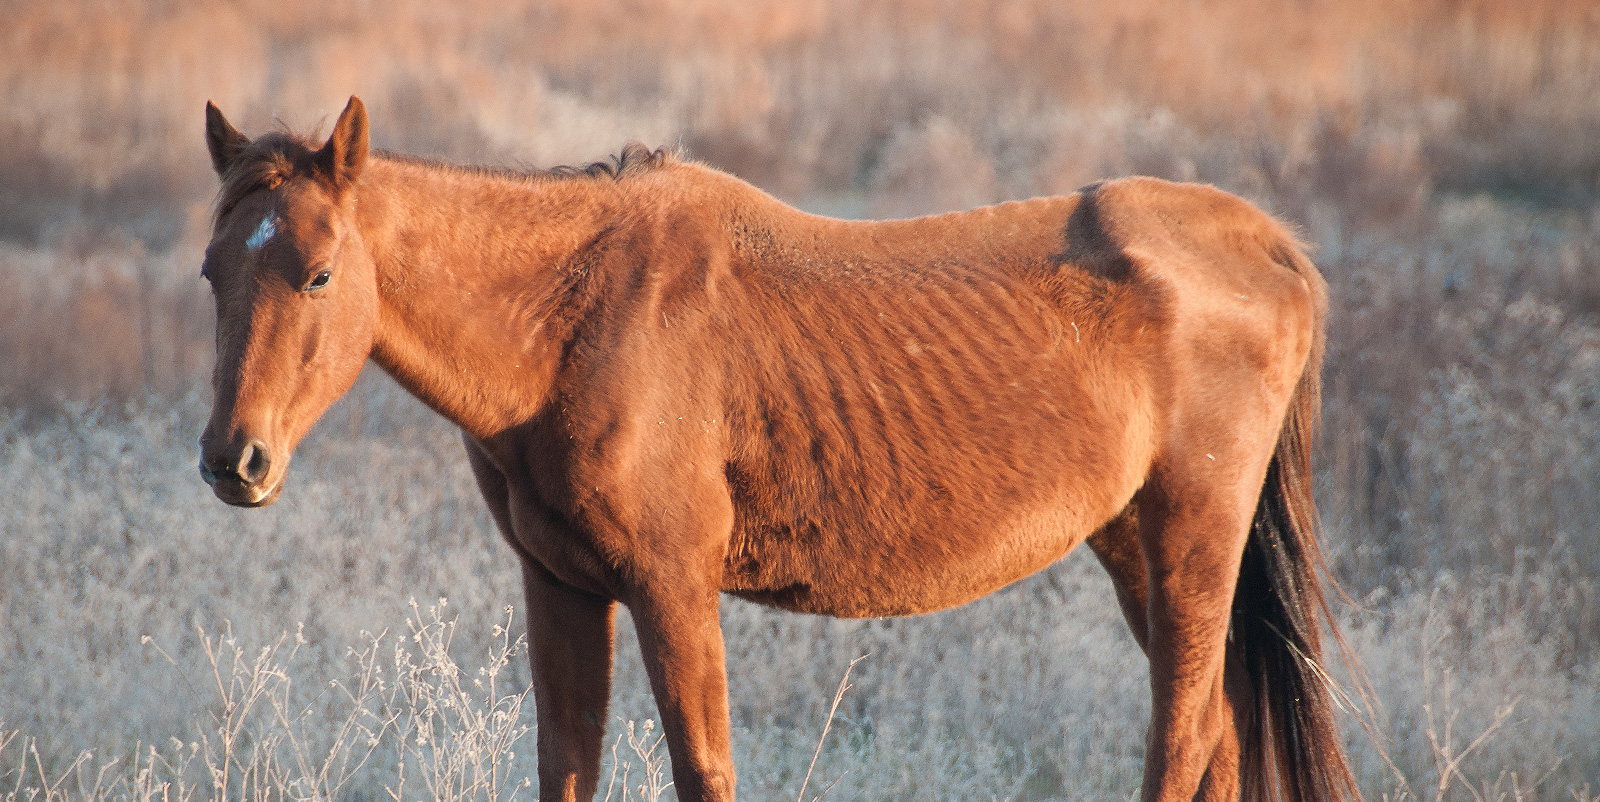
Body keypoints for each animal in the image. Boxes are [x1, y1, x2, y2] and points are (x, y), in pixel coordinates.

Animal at [193, 98, 1356, 800]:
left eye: (320, 275)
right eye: (213, 271)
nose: (231, 461)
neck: (577, 317)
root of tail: (1268, 244)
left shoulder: (672, 587)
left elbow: (704, 769)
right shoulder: (561, 589)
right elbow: (566, 767)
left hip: (1193, 542)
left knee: (1184, 737)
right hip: (1136, 552)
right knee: (1215, 736)